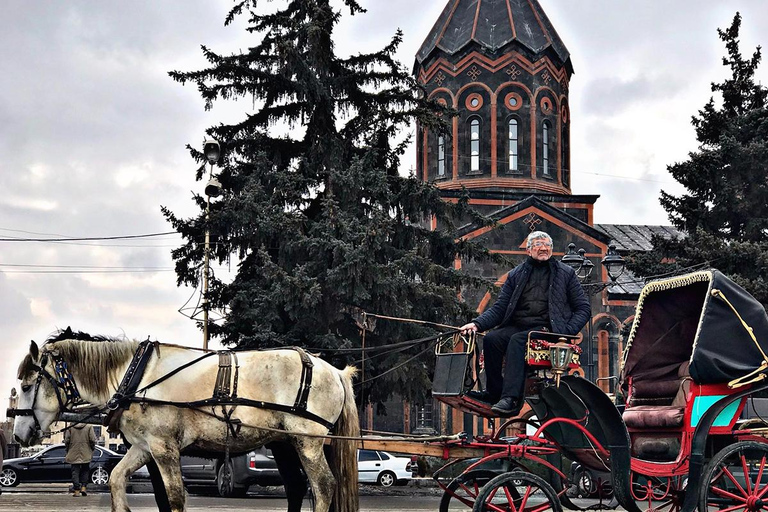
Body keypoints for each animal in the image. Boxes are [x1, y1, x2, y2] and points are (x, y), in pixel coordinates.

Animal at [12, 330, 360, 512]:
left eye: (27, 386)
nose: (17, 436)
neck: (137, 376)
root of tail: (335, 371)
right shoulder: (144, 447)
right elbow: (116, 479)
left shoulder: (165, 448)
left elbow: (174, 496)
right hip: (284, 442)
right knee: (296, 486)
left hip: (307, 441)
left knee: (323, 486)